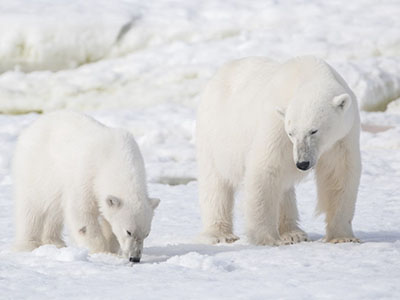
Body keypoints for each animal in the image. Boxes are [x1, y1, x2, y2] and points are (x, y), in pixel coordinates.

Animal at [14, 110, 161, 262]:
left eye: (147, 234)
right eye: (129, 231)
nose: (135, 258)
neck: (114, 158)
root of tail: (33, 126)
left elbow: (107, 220)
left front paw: (111, 248)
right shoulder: (87, 174)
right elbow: (81, 214)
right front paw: (101, 251)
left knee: (54, 210)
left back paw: (55, 242)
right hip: (36, 167)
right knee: (31, 207)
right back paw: (28, 244)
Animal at [197, 56, 362, 246]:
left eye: (314, 130)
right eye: (291, 133)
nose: (302, 163)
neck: (307, 73)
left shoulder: (344, 134)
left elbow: (339, 174)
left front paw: (343, 237)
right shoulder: (275, 123)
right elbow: (266, 169)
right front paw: (267, 238)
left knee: (284, 188)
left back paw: (293, 233)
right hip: (215, 134)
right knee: (215, 183)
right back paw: (219, 234)